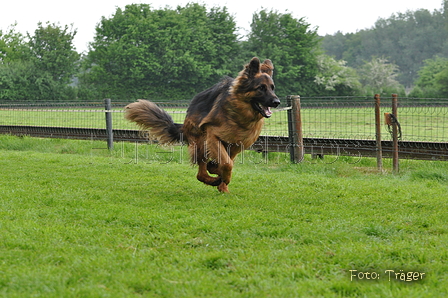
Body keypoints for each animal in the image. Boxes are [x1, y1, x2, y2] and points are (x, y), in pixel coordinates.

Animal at [126, 57, 278, 193]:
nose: (277, 102)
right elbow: (227, 163)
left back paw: (220, 183)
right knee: (201, 174)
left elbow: (227, 162)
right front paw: (222, 176)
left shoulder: (236, 144)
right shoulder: (212, 135)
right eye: (261, 88)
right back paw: (214, 180)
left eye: (272, 88)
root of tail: (184, 125)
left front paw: (220, 177)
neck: (238, 115)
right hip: (200, 141)